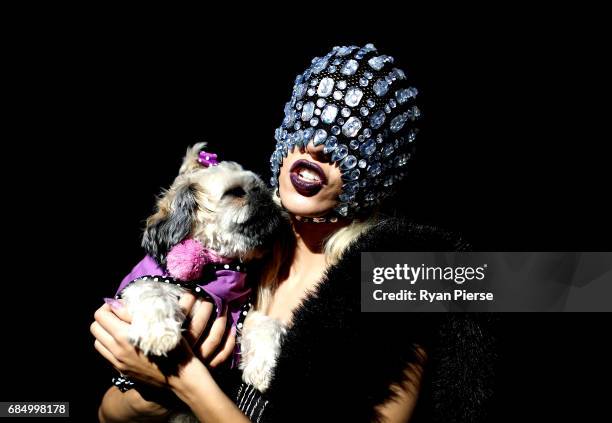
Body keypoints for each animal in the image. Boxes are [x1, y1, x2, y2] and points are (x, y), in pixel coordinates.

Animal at [117, 144, 284, 360]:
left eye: (260, 187)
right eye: (235, 192)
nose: (265, 195)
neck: (212, 264)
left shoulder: (240, 316)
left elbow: (265, 324)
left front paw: (263, 364)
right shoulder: (138, 284)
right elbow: (152, 292)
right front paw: (160, 333)